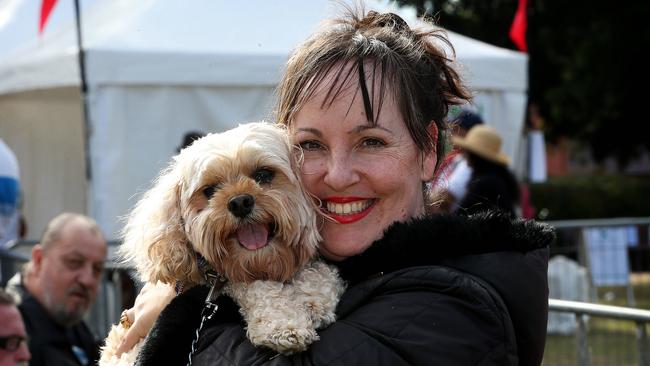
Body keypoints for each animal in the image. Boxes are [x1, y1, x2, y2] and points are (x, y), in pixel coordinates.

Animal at [100, 121, 344, 364]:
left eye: (263, 174)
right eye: (209, 190)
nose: (240, 202)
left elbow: (321, 273)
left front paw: (315, 300)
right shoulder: (230, 283)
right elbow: (259, 288)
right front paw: (283, 326)